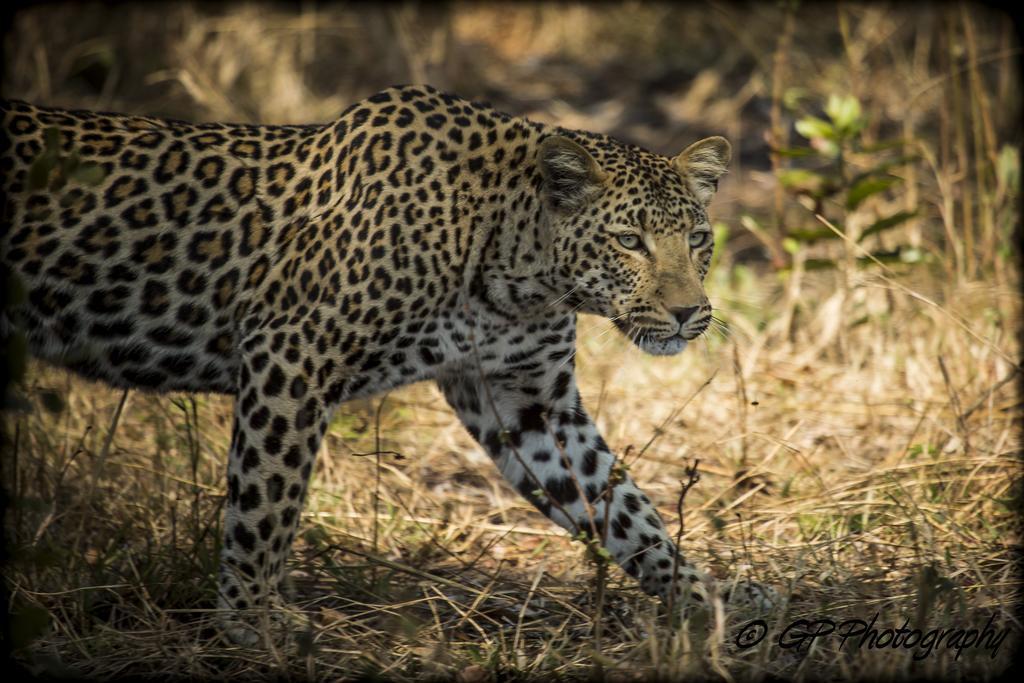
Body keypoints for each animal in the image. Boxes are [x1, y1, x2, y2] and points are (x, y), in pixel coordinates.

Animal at [2, 82, 774, 643]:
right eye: (628, 241)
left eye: (697, 239)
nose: (689, 313)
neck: (517, 270)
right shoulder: (292, 355)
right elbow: (265, 501)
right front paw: (253, 619)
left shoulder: (529, 402)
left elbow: (624, 507)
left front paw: (710, 597)